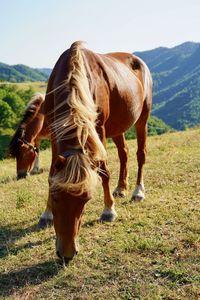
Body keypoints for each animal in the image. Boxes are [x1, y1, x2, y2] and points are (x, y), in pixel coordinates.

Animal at [40, 41, 152, 264]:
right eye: (55, 198)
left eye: (86, 200)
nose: (67, 254)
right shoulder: (54, 131)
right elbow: (51, 174)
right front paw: (46, 214)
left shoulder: (98, 129)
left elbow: (104, 171)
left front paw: (109, 210)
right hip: (117, 127)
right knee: (124, 153)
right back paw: (121, 188)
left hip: (142, 117)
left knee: (140, 154)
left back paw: (137, 191)